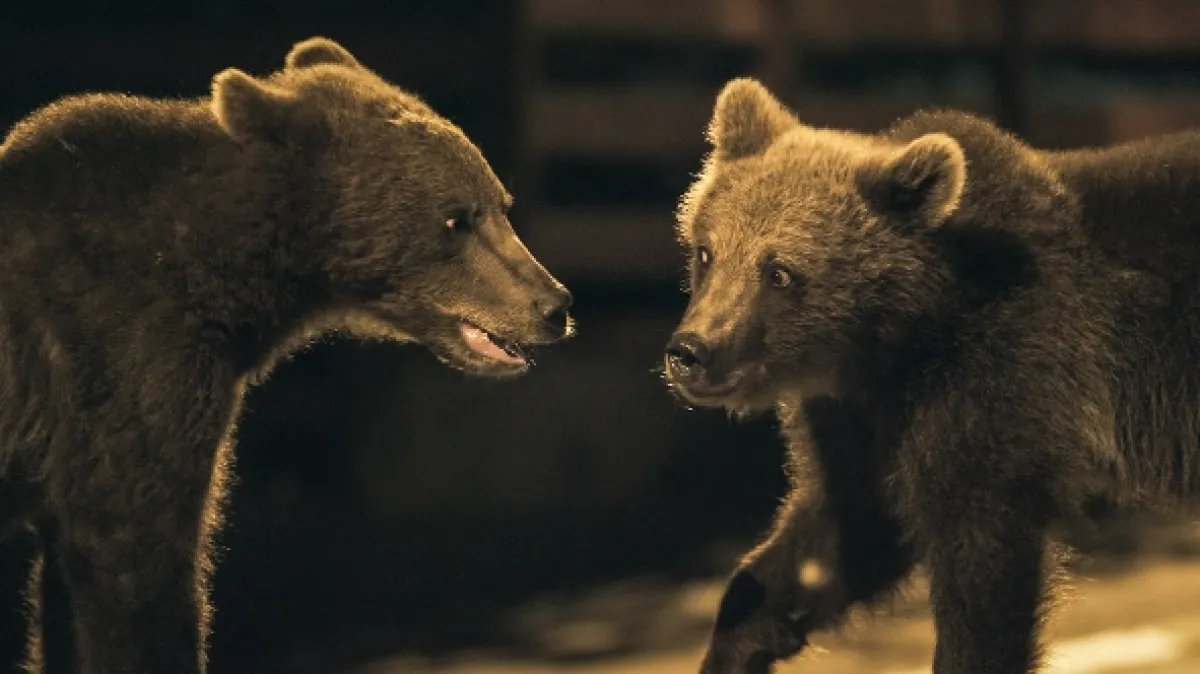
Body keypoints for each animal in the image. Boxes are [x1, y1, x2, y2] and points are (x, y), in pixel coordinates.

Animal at [662, 76, 1200, 674]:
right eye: (706, 252)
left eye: (779, 272)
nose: (692, 350)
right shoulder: (859, 420)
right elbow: (839, 535)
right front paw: (737, 640)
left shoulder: (997, 380)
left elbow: (981, 559)